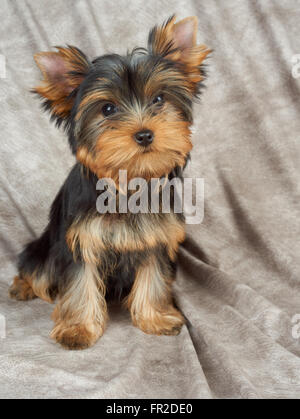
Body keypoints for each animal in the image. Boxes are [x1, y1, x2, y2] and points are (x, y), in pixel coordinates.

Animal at [9, 16, 211, 350]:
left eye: (159, 99)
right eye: (107, 109)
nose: (144, 134)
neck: (128, 181)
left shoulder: (156, 238)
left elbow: (153, 276)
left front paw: (155, 317)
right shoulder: (80, 241)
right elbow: (80, 283)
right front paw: (78, 329)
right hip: (43, 248)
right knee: (37, 269)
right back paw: (22, 287)